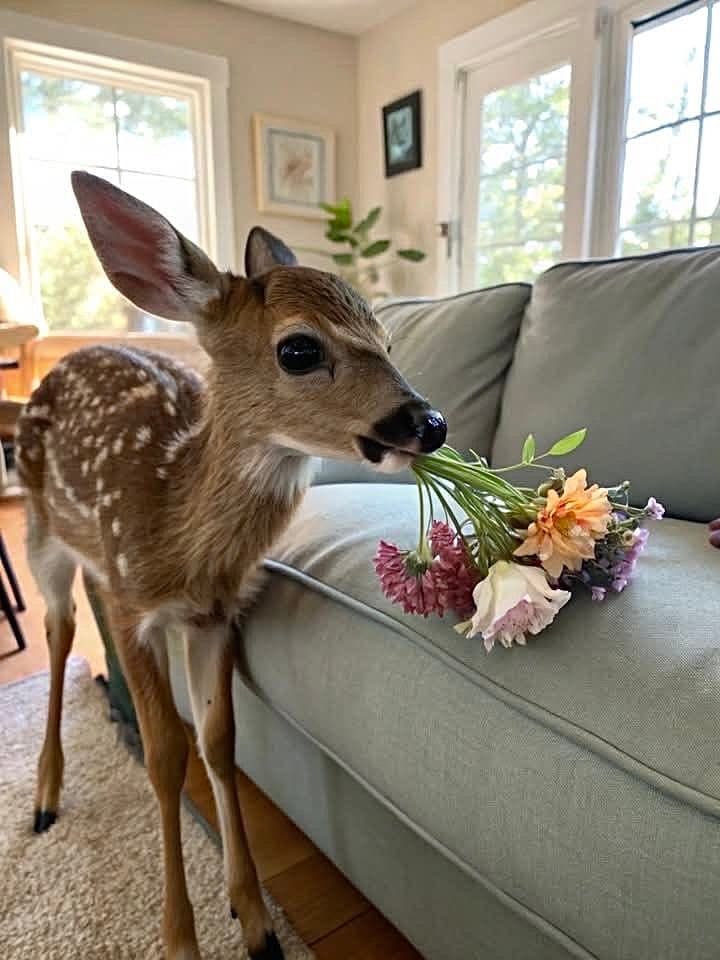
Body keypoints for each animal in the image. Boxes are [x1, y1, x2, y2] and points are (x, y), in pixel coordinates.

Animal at [15, 171, 447, 960]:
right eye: (299, 350)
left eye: (388, 340)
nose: (428, 422)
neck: (179, 533)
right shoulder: (135, 603)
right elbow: (164, 760)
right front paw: (179, 938)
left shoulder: (214, 616)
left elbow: (219, 745)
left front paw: (253, 921)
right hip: (41, 528)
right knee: (59, 634)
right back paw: (45, 796)